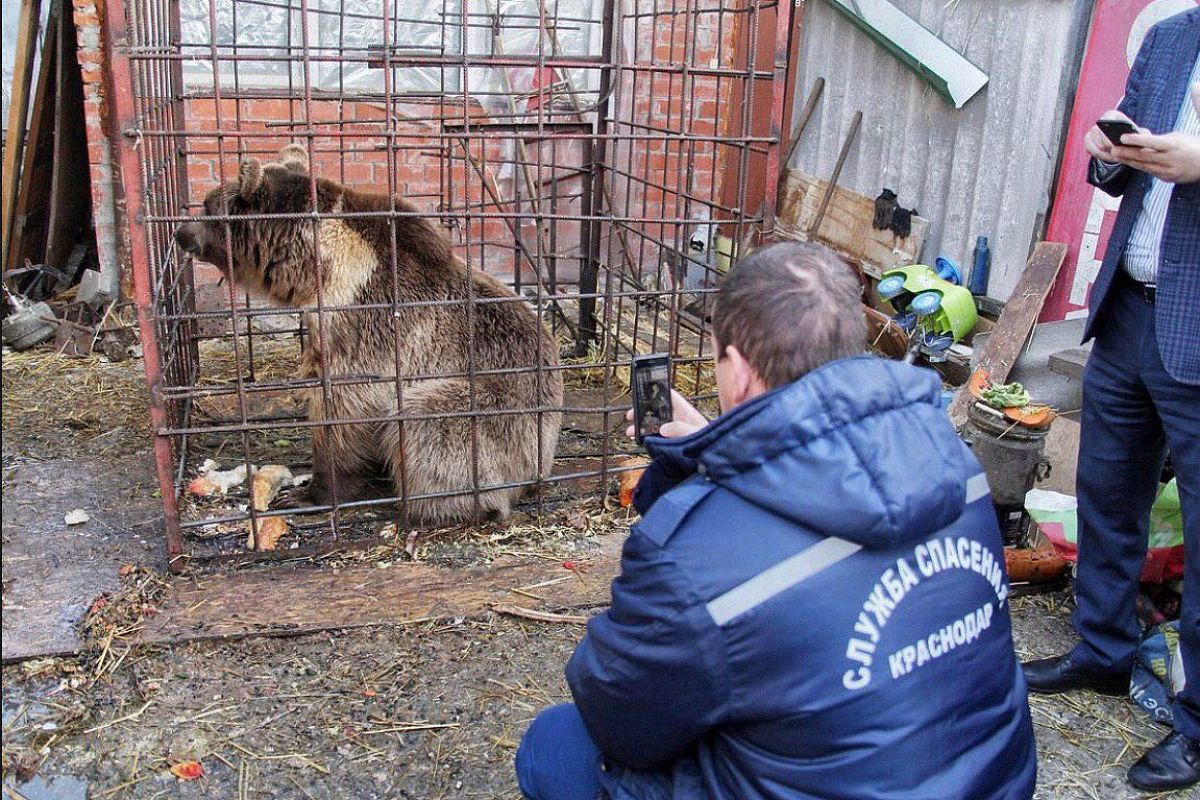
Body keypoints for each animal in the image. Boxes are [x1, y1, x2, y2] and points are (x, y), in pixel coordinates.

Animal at [175, 145, 564, 525]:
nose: (180, 232)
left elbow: (345, 405)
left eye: (206, 206)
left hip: (500, 411)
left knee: (427, 421)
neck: (318, 264)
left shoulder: (360, 321)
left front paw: (310, 492)